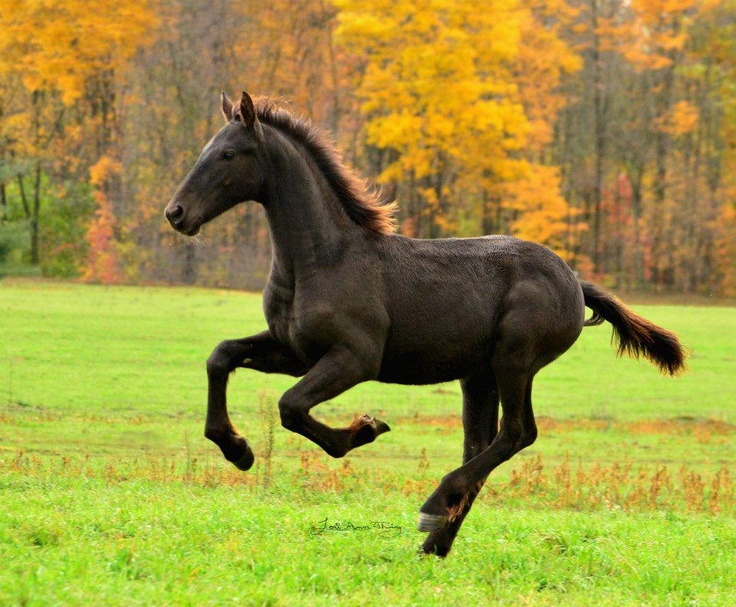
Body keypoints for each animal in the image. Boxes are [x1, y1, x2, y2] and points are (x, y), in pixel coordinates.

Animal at [165, 91, 684, 556]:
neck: (323, 259)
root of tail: (575, 281)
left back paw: (433, 508)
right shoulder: (293, 350)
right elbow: (222, 356)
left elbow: (290, 407)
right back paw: (434, 543)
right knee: (481, 445)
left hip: (514, 362)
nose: (176, 213)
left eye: (229, 153)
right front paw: (237, 449)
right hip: (478, 376)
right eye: (207, 148)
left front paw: (363, 431)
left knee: (517, 434)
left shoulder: (355, 358)